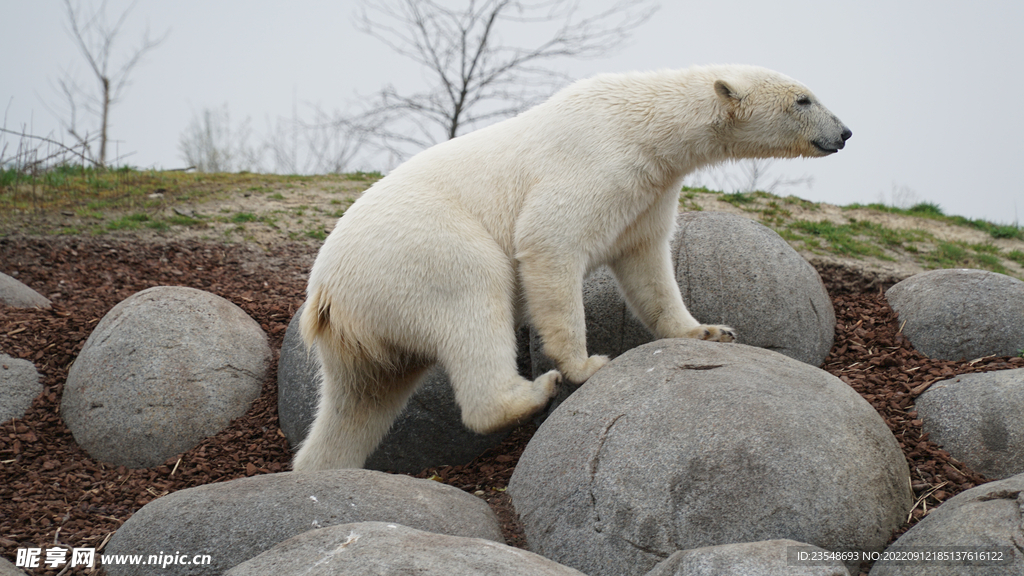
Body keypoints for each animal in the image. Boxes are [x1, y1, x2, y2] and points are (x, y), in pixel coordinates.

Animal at [292, 63, 851, 467]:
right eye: (803, 99)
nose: (845, 131)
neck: (646, 126)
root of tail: (325, 294)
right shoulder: (595, 162)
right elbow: (550, 241)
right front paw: (584, 364)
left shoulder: (649, 190)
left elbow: (647, 264)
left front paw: (708, 331)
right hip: (420, 253)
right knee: (472, 300)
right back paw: (530, 393)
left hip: (366, 330)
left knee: (359, 401)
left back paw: (321, 468)